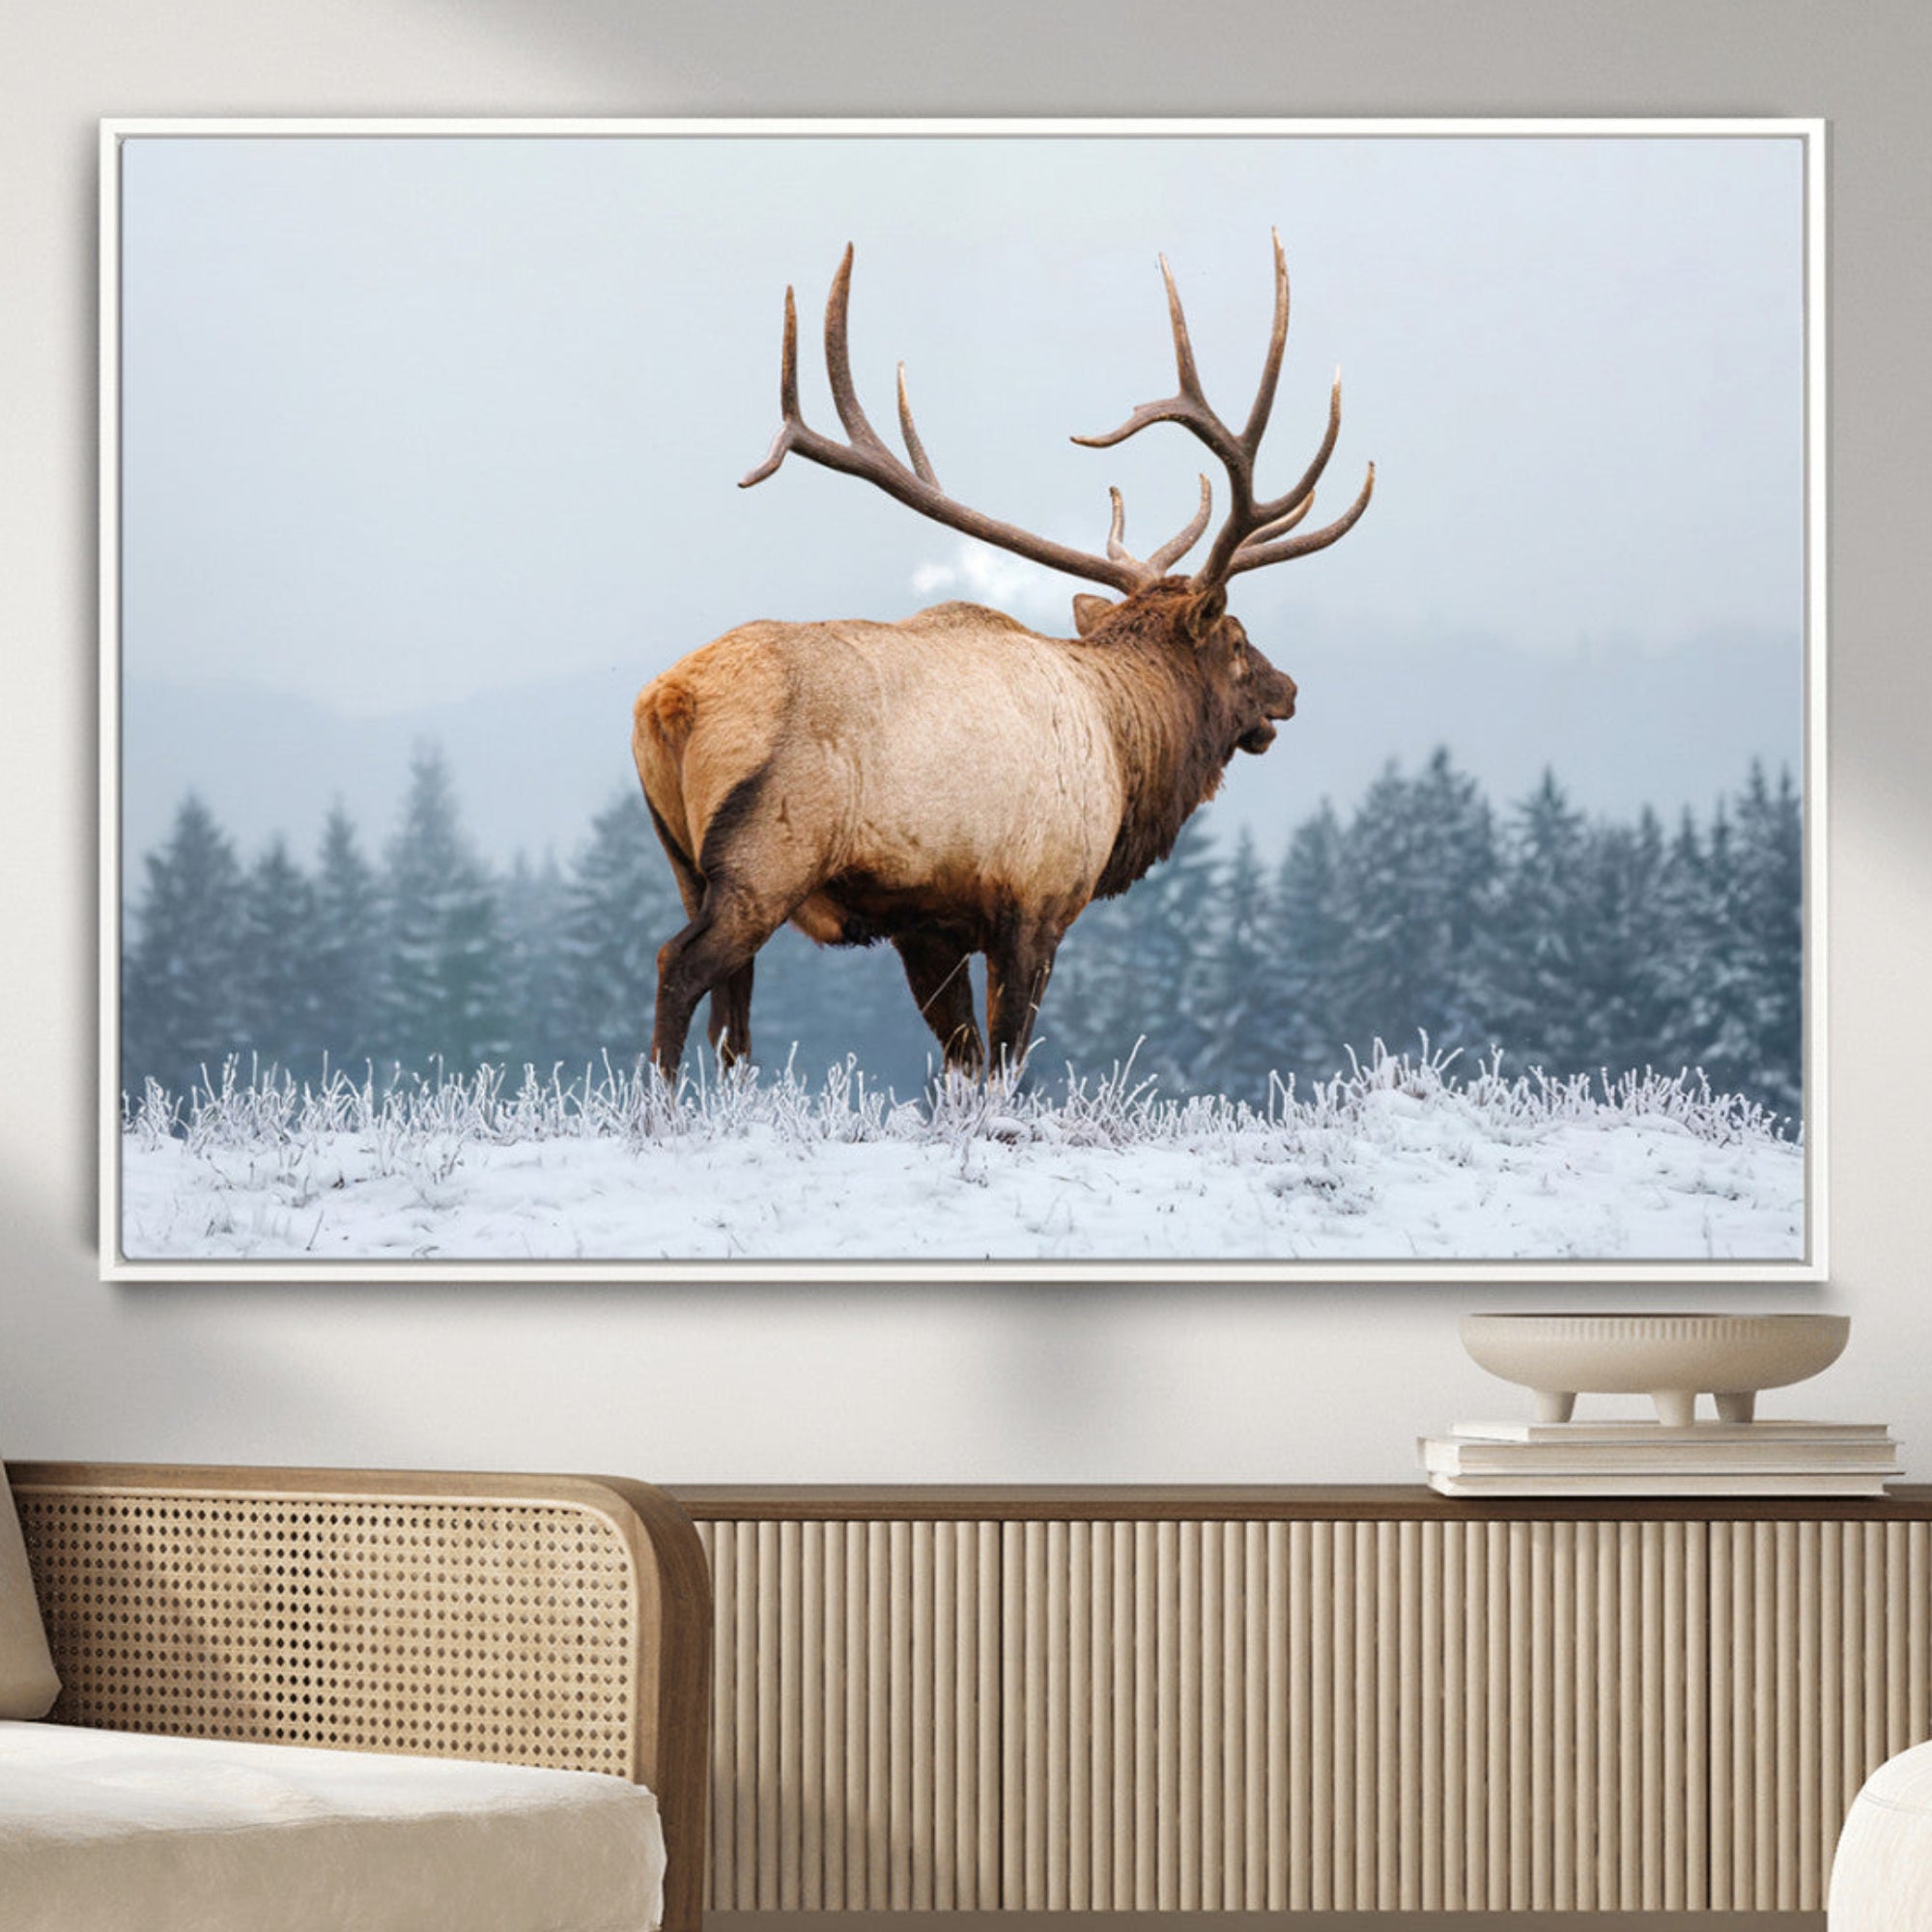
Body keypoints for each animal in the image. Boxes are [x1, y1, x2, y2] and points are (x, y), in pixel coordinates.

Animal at [634, 233, 1372, 1085]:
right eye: (1238, 640)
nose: (1289, 690)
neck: (1125, 753)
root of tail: (669, 702)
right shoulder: (1038, 901)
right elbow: (1009, 1059)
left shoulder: (929, 925)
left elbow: (963, 1059)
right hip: (766, 857)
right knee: (679, 967)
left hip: (683, 863)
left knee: (733, 1015)